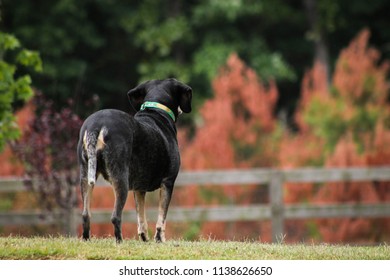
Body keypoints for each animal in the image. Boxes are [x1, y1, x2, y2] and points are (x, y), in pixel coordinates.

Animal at [77, 77, 192, 242]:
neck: (156, 111)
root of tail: (96, 126)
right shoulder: (168, 182)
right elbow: (161, 218)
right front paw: (159, 239)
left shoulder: (139, 188)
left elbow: (141, 217)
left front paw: (144, 238)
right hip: (120, 178)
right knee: (115, 216)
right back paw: (119, 241)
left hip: (85, 176)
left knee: (86, 215)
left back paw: (86, 239)